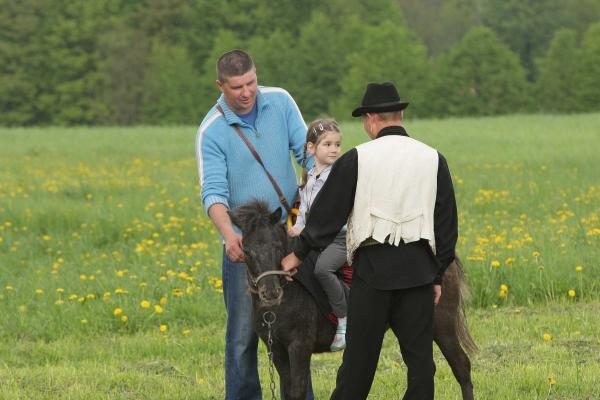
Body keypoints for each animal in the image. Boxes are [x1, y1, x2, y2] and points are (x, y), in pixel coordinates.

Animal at [227, 200, 476, 400]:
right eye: (247, 251)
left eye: (278, 247)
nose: (270, 293)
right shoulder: (277, 348)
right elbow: (287, 390)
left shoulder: (299, 346)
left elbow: (297, 391)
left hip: (441, 325)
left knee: (461, 366)